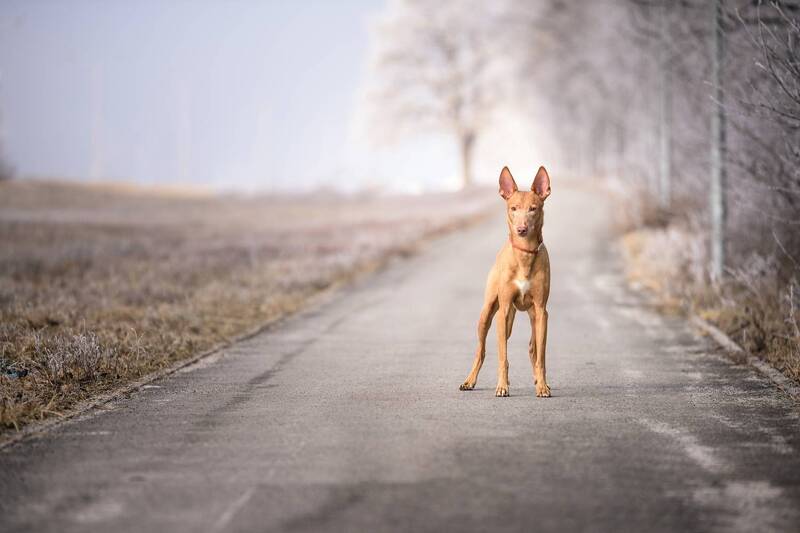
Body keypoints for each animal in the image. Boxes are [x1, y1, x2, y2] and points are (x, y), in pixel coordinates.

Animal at [459, 166, 552, 397]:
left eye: (533, 209)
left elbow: (541, 356)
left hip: (533, 316)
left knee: (533, 348)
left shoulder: (542, 311)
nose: (521, 229)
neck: (524, 255)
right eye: (513, 208)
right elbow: (502, 356)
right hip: (491, 315)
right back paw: (469, 381)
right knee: (481, 350)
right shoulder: (504, 310)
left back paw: (539, 381)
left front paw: (542, 386)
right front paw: (502, 386)